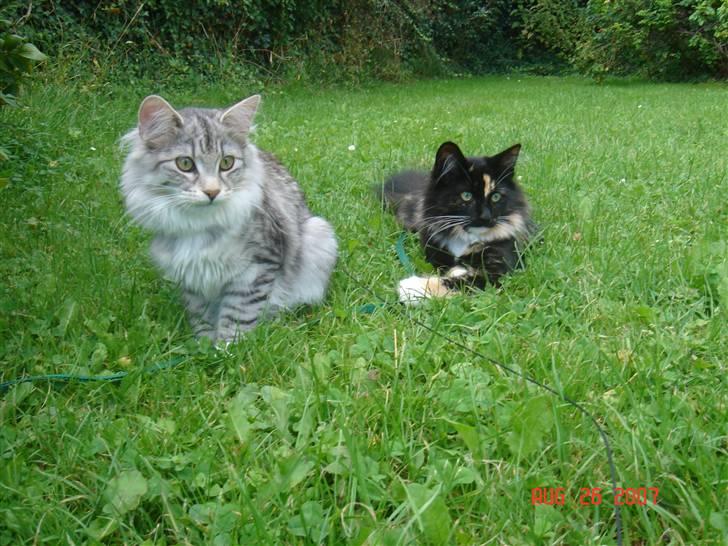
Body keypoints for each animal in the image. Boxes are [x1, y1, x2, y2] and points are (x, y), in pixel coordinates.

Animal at [119, 93, 336, 340]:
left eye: (226, 163)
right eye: (185, 163)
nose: (212, 192)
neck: (199, 224)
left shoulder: (256, 268)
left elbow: (238, 316)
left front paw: (229, 346)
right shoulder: (192, 278)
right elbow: (201, 316)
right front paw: (203, 343)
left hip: (319, 232)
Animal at [382, 140, 536, 286]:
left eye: (495, 197)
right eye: (466, 196)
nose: (486, 217)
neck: (465, 238)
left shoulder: (499, 267)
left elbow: (461, 282)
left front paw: (412, 286)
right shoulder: (434, 249)